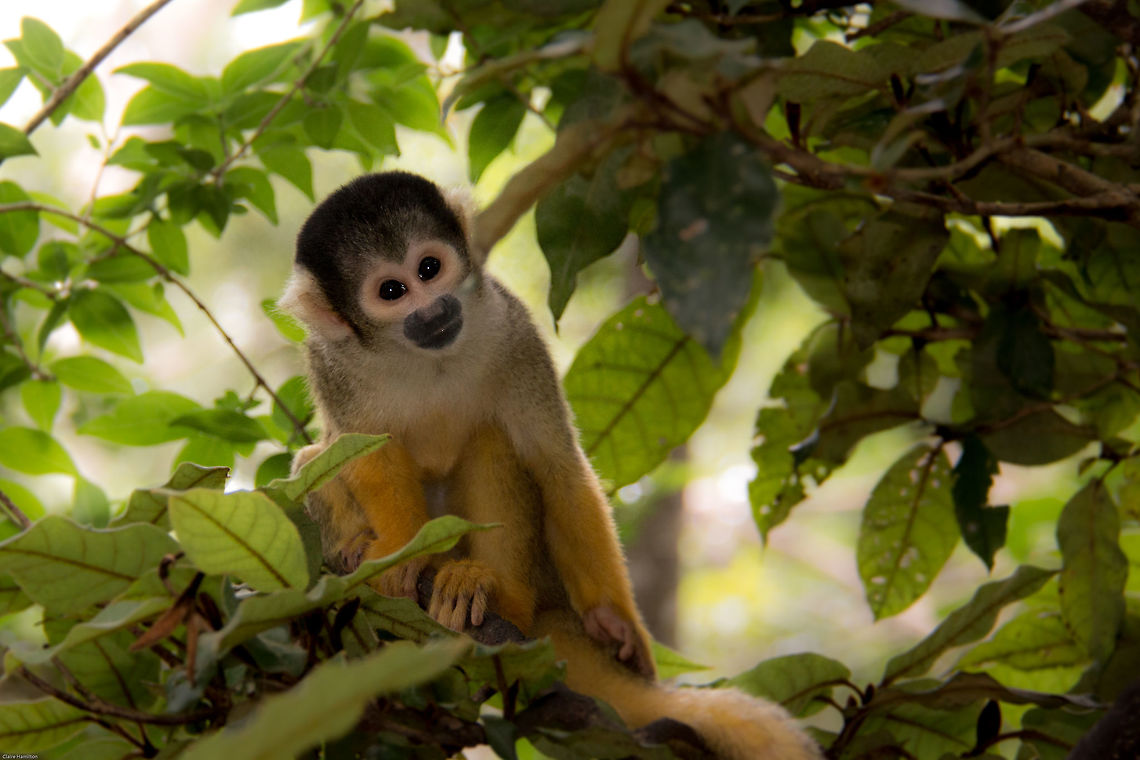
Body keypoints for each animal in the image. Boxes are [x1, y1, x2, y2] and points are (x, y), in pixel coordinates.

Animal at [278, 171, 823, 760]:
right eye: (391, 292)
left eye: (428, 268)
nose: (433, 310)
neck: (428, 358)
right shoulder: (333, 365)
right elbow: (365, 454)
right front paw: (402, 555)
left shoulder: (512, 328)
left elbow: (555, 463)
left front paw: (617, 621)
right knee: (314, 457)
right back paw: (358, 546)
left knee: (494, 442)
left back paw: (494, 594)